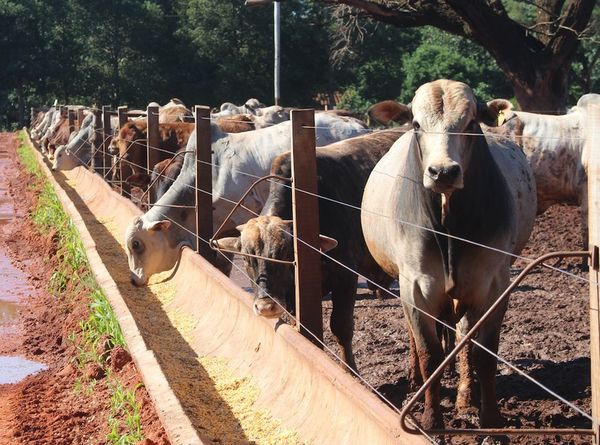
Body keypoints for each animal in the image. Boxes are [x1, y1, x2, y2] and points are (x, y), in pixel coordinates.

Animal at [213, 129, 400, 372]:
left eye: (285, 255)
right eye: (246, 259)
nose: (265, 307)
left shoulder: (345, 275)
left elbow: (341, 326)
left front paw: (349, 369)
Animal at [360, 79, 540, 426]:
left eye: (470, 123)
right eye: (417, 124)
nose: (443, 172)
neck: (449, 229)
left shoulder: (494, 285)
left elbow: (483, 353)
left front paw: (490, 418)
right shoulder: (414, 287)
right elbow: (429, 354)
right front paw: (431, 418)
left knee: (462, 338)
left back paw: (464, 397)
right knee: (419, 340)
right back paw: (416, 382)